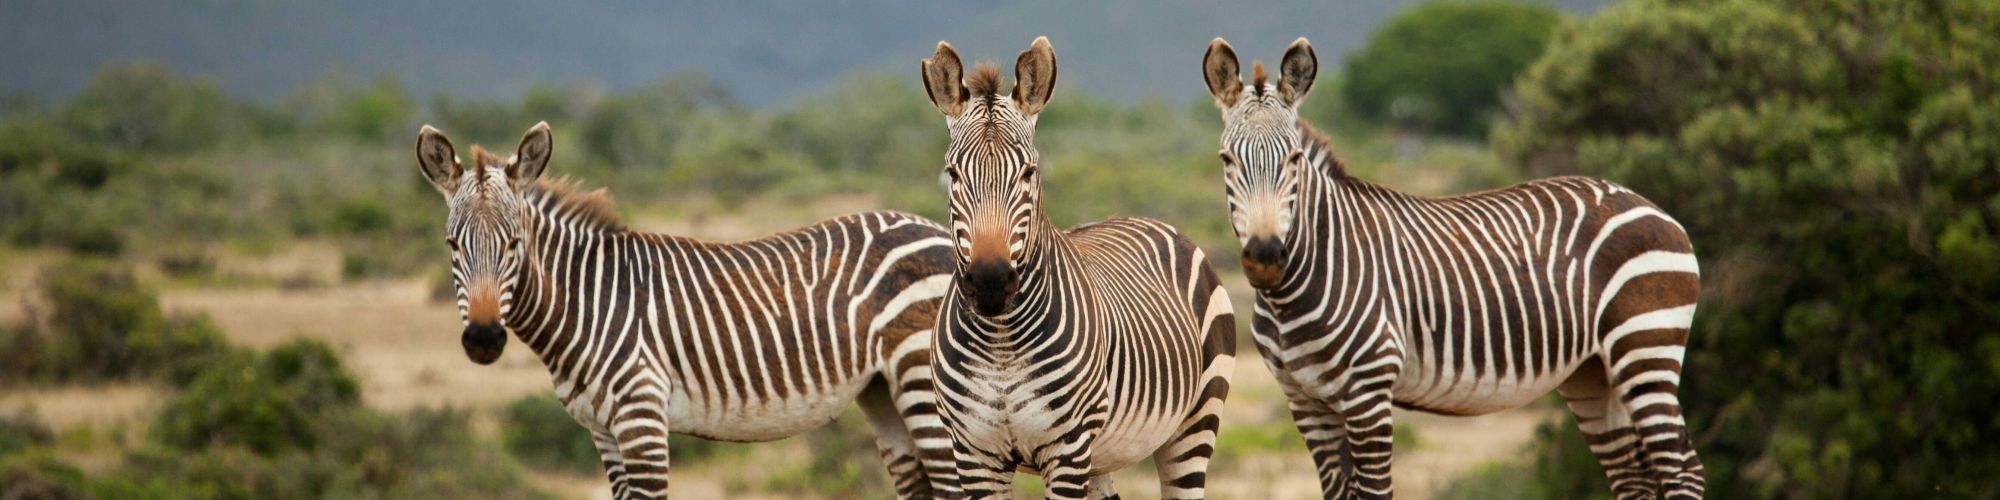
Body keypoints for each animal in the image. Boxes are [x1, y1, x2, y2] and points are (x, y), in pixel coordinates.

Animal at [416, 122, 960, 499]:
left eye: (514, 243)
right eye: (451, 245)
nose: (484, 339)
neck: (590, 298)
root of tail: (935, 228)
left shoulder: (641, 416)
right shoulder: (603, 432)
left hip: (920, 381)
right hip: (883, 391)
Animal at [918, 37, 1238, 500]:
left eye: (1030, 172)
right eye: (952, 173)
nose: (990, 281)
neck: (1000, 343)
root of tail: (1145, 219)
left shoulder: (1066, 449)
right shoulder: (973, 453)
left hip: (1195, 422)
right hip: (1100, 452)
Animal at [1201, 38, 1705, 499]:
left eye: (1294, 160)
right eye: (1226, 159)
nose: (1266, 259)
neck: (1292, 295)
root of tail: (1647, 204)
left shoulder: (1368, 393)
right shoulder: (1305, 402)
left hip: (1646, 346)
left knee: (1683, 469)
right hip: (1593, 371)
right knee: (1633, 478)